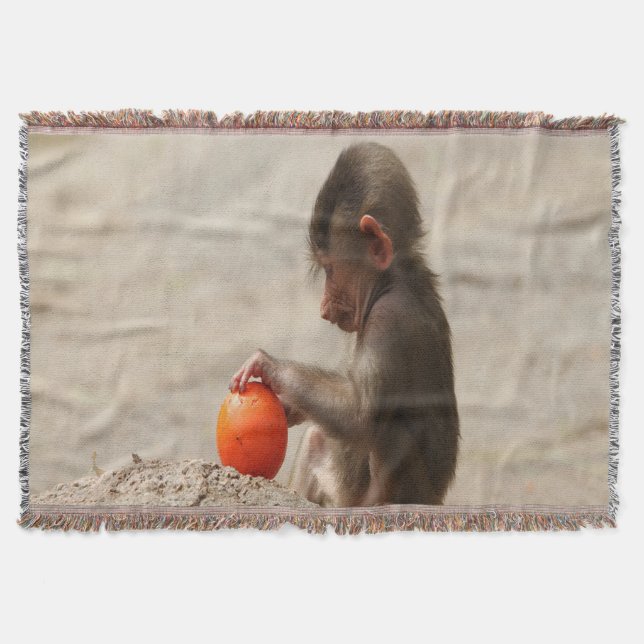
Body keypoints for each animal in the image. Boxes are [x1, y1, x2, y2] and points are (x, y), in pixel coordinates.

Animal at [229, 142, 459, 507]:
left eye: (330, 269)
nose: (323, 308)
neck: (393, 279)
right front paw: (288, 406)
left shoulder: (389, 319)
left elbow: (359, 414)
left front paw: (268, 366)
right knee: (316, 440)